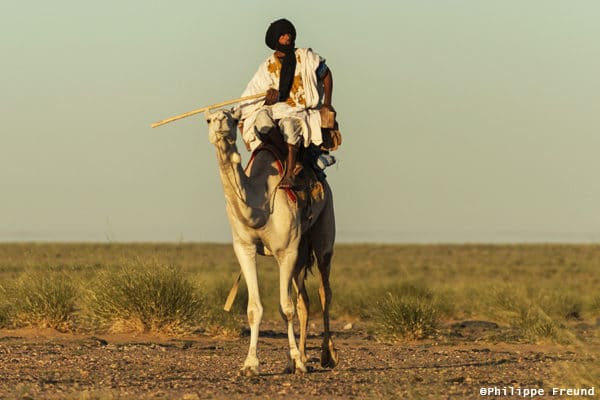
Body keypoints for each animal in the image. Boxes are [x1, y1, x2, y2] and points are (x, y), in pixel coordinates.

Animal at [205, 108, 338, 376]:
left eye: (233, 119)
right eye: (208, 119)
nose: (221, 121)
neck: (259, 204)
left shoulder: (285, 251)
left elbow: (285, 308)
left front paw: (297, 360)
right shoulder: (244, 248)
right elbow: (254, 309)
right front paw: (250, 364)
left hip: (323, 233)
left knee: (324, 291)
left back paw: (326, 356)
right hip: (301, 251)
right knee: (304, 301)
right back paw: (300, 358)